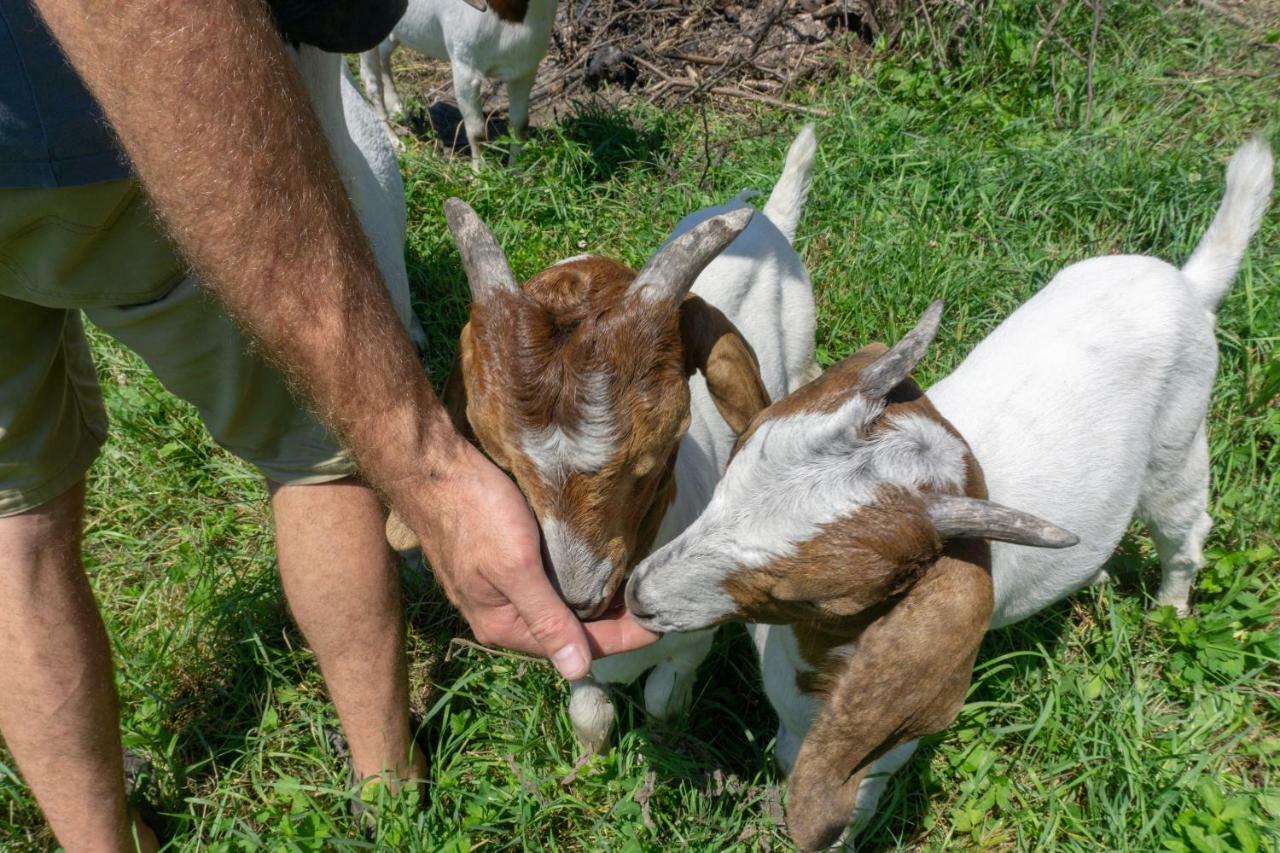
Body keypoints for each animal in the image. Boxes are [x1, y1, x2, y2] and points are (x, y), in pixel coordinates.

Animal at [363, 0, 558, 167]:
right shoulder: (465, 72)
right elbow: (477, 132)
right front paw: (480, 177)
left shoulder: (524, 71)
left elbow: (520, 124)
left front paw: (516, 171)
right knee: (371, 82)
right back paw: (394, 141)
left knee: (384, 57)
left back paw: (398, 109)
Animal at [627, 137, 1269, 845]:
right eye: (733, 473)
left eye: (821, 596)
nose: (639, 595)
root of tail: (1188, 284)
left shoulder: (876, 746)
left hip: (1179, 443)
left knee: (1184, 530)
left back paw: (1169, 613)